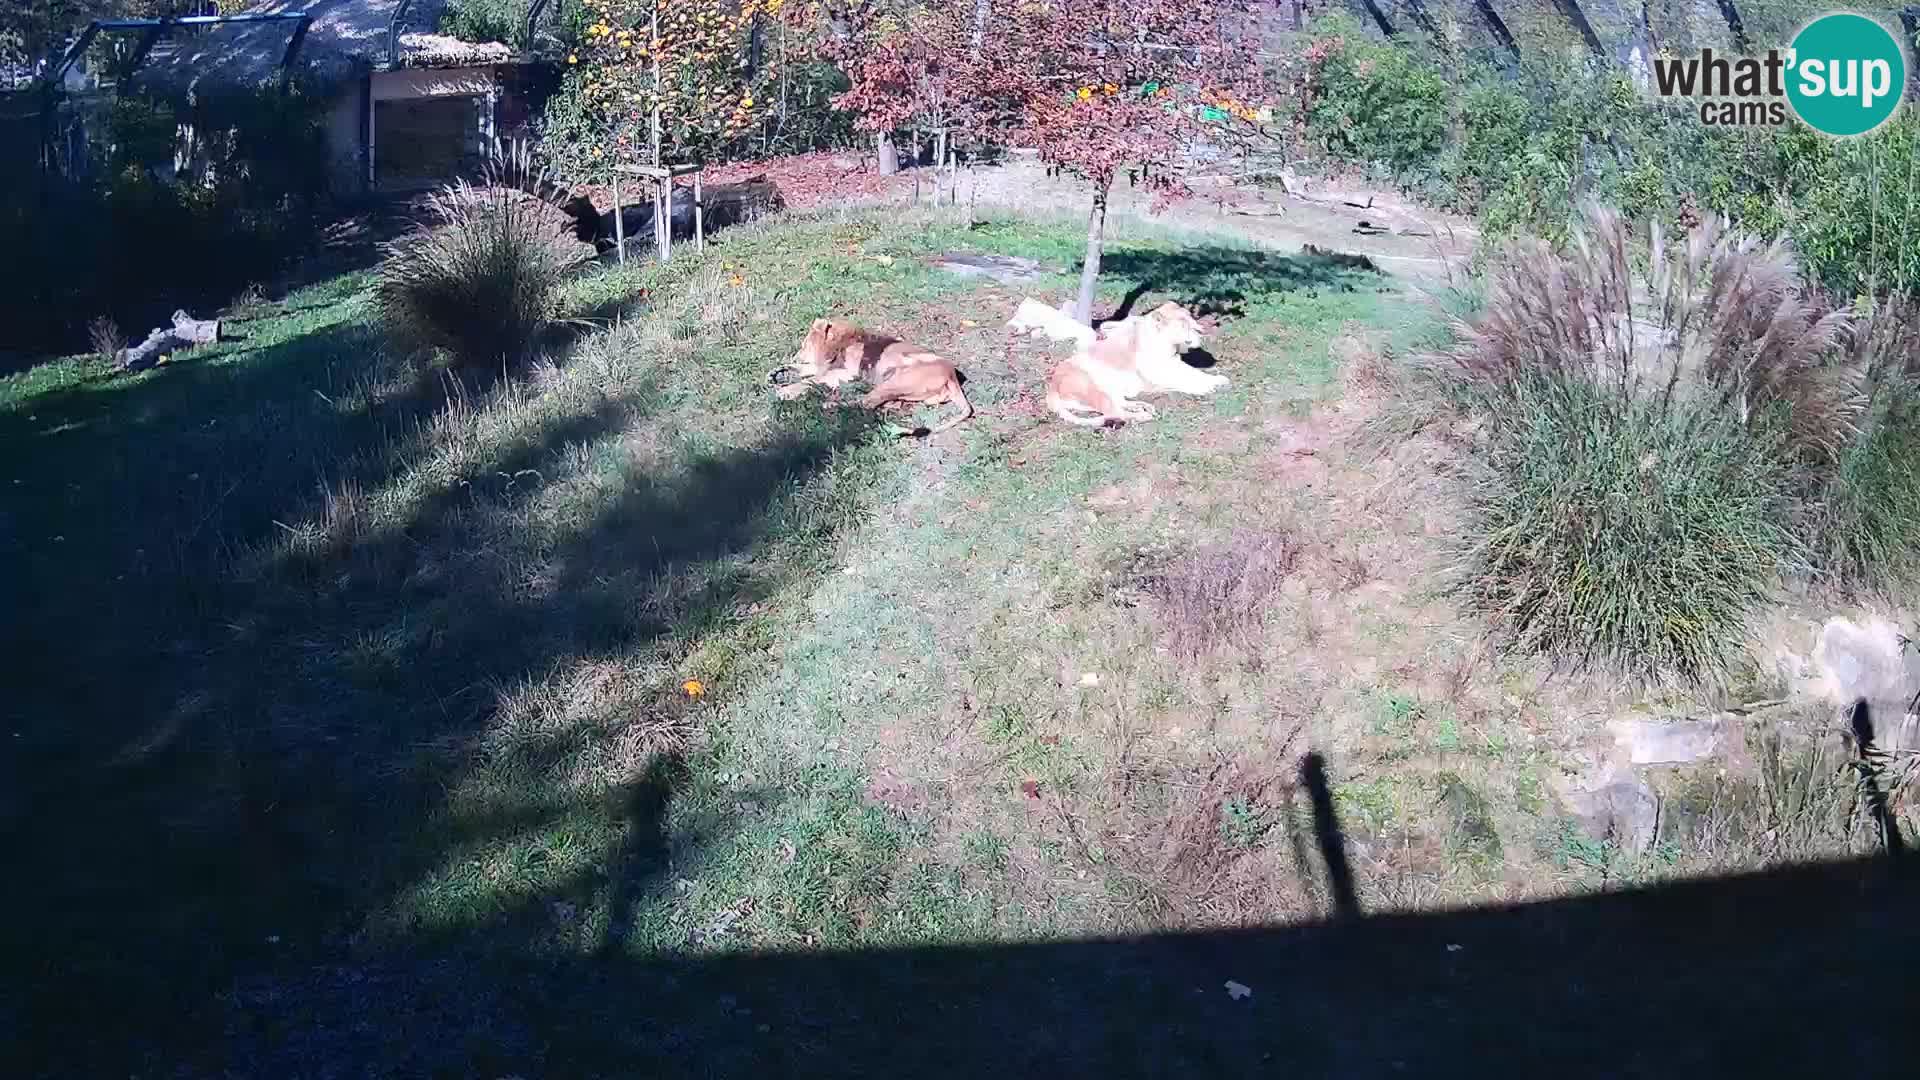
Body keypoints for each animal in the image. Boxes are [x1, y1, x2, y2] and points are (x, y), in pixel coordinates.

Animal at [769, 318, 974, 436]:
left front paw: (786, 390)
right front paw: (777, 372)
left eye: (804, 345)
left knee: (866, 403)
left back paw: (829, 405)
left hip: (897, 379)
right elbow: (803, 370)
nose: (796, 355)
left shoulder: (842, 373)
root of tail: (952, 376)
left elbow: (809, 380)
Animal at [1044, 301, 1226, 428]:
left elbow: (1196, 373)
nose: (1202, 330)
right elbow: (1184, 380)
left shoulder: (1176, 365)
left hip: (1108, 391)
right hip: (1091, 386)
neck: (1168, 345)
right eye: (1183, 324)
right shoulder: (1160, 376)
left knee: (1119, 405)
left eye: (1191, 319)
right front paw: (1206, 388)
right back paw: (1143, 415)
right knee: (1114, 411)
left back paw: (1143, 407)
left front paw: (1219, 380)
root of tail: (1051, 387)